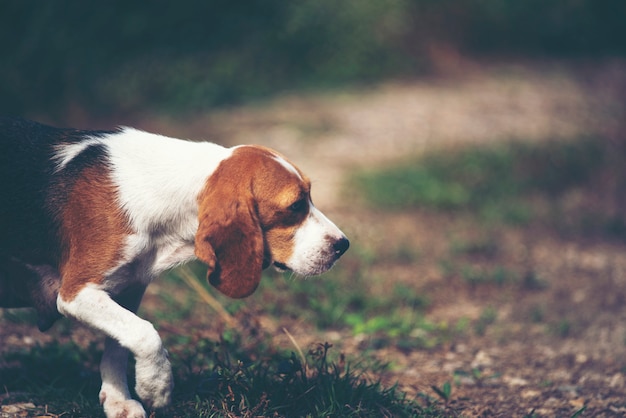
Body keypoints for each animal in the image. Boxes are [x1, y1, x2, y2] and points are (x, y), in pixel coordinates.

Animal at [0, 116, 346, 418]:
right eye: (295, 206)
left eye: (310, 196)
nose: (343, 245)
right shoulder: (76, 293)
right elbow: (145, 334)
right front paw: (156, 388)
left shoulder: (128, 289)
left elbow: (119, 344)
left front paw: (118, 400)